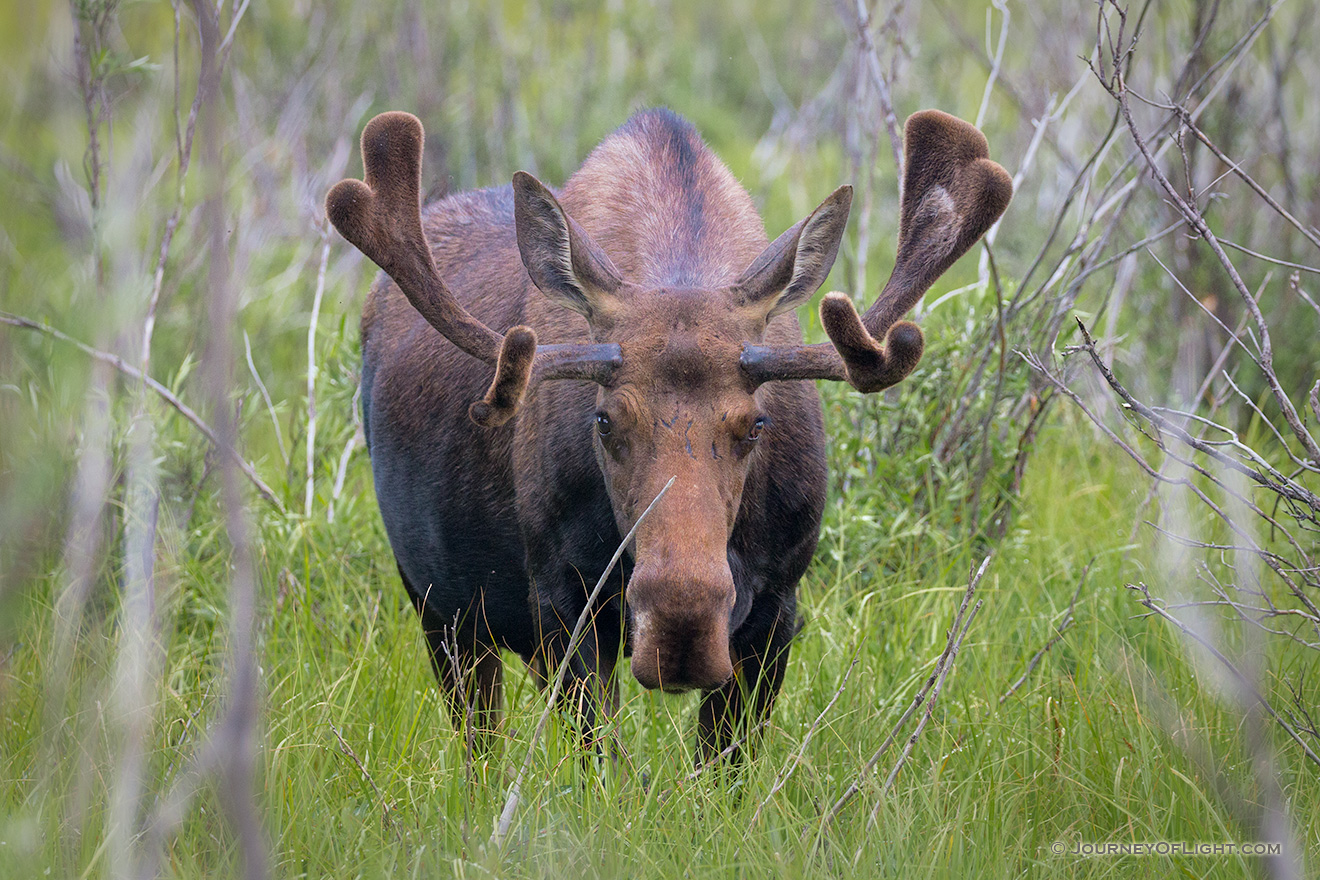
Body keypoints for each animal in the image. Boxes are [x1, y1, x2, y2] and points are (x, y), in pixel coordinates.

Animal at [324, 106, 1003, 759]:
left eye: (756, 423)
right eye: (604, 420)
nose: (682, 627)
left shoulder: (778, 608)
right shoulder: (563, 605)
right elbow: (600, 764)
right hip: (441, 609)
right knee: (479, 745)